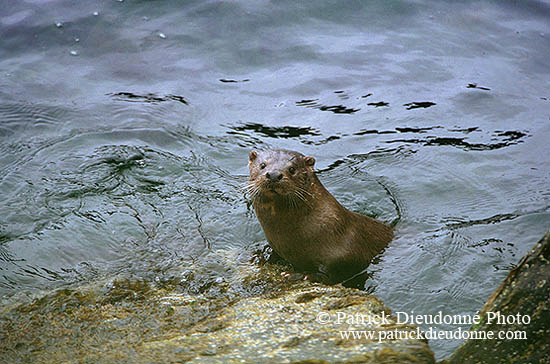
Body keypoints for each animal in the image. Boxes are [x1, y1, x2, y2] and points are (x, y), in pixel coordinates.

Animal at [248, 149, 394, 286]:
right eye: (262, 165)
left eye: (292, 169)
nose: (273, 174)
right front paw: (261, 257)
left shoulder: (348, 255)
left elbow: (331, 275)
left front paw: (298, 275)